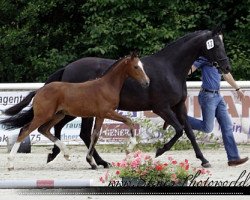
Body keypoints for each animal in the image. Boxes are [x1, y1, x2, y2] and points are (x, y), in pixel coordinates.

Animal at [1, 54, 148, 170]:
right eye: (136, 67)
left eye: (142, 66)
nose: (147, 82)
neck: (106, 86)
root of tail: (39, 90)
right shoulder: (107, 112)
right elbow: (129, 121)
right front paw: (129, 148)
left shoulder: (100, 116)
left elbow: (95, 136)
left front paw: (92, 162)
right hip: (43, 115)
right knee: (25, 131)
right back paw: (10, 164)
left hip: (58, 115)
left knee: (44, 129)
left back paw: (65, 153)